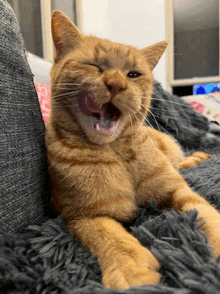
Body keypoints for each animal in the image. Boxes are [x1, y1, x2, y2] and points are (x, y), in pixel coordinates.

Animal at [46, 10, 220, 290]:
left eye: (133, 75)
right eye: (94, 66)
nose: (116, 84)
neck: (116, 151)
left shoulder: (177, 189)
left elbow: (205, 211)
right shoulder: (84, 215)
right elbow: (111, 238)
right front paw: (132, 269)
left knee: (179, 161)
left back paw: (194, 159)